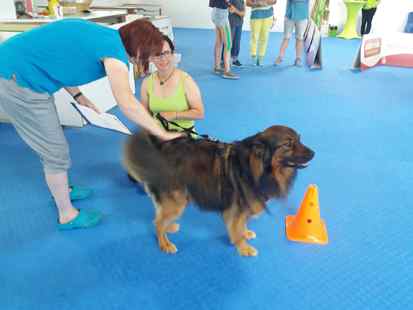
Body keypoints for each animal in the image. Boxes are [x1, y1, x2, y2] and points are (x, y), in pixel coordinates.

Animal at [122, 124, 312, 256]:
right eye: (288, 144)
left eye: (300, 139)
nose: (314, 153)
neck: (257, 168)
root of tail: (157, 153)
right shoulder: (237, 208)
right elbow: (237, 227)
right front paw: (243, 247)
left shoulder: (242, 207)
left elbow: (242, 224)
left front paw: (245, 233)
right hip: (177, 201)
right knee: (158, 222)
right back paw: (165, 243)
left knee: (159, 217)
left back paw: (170, 227)